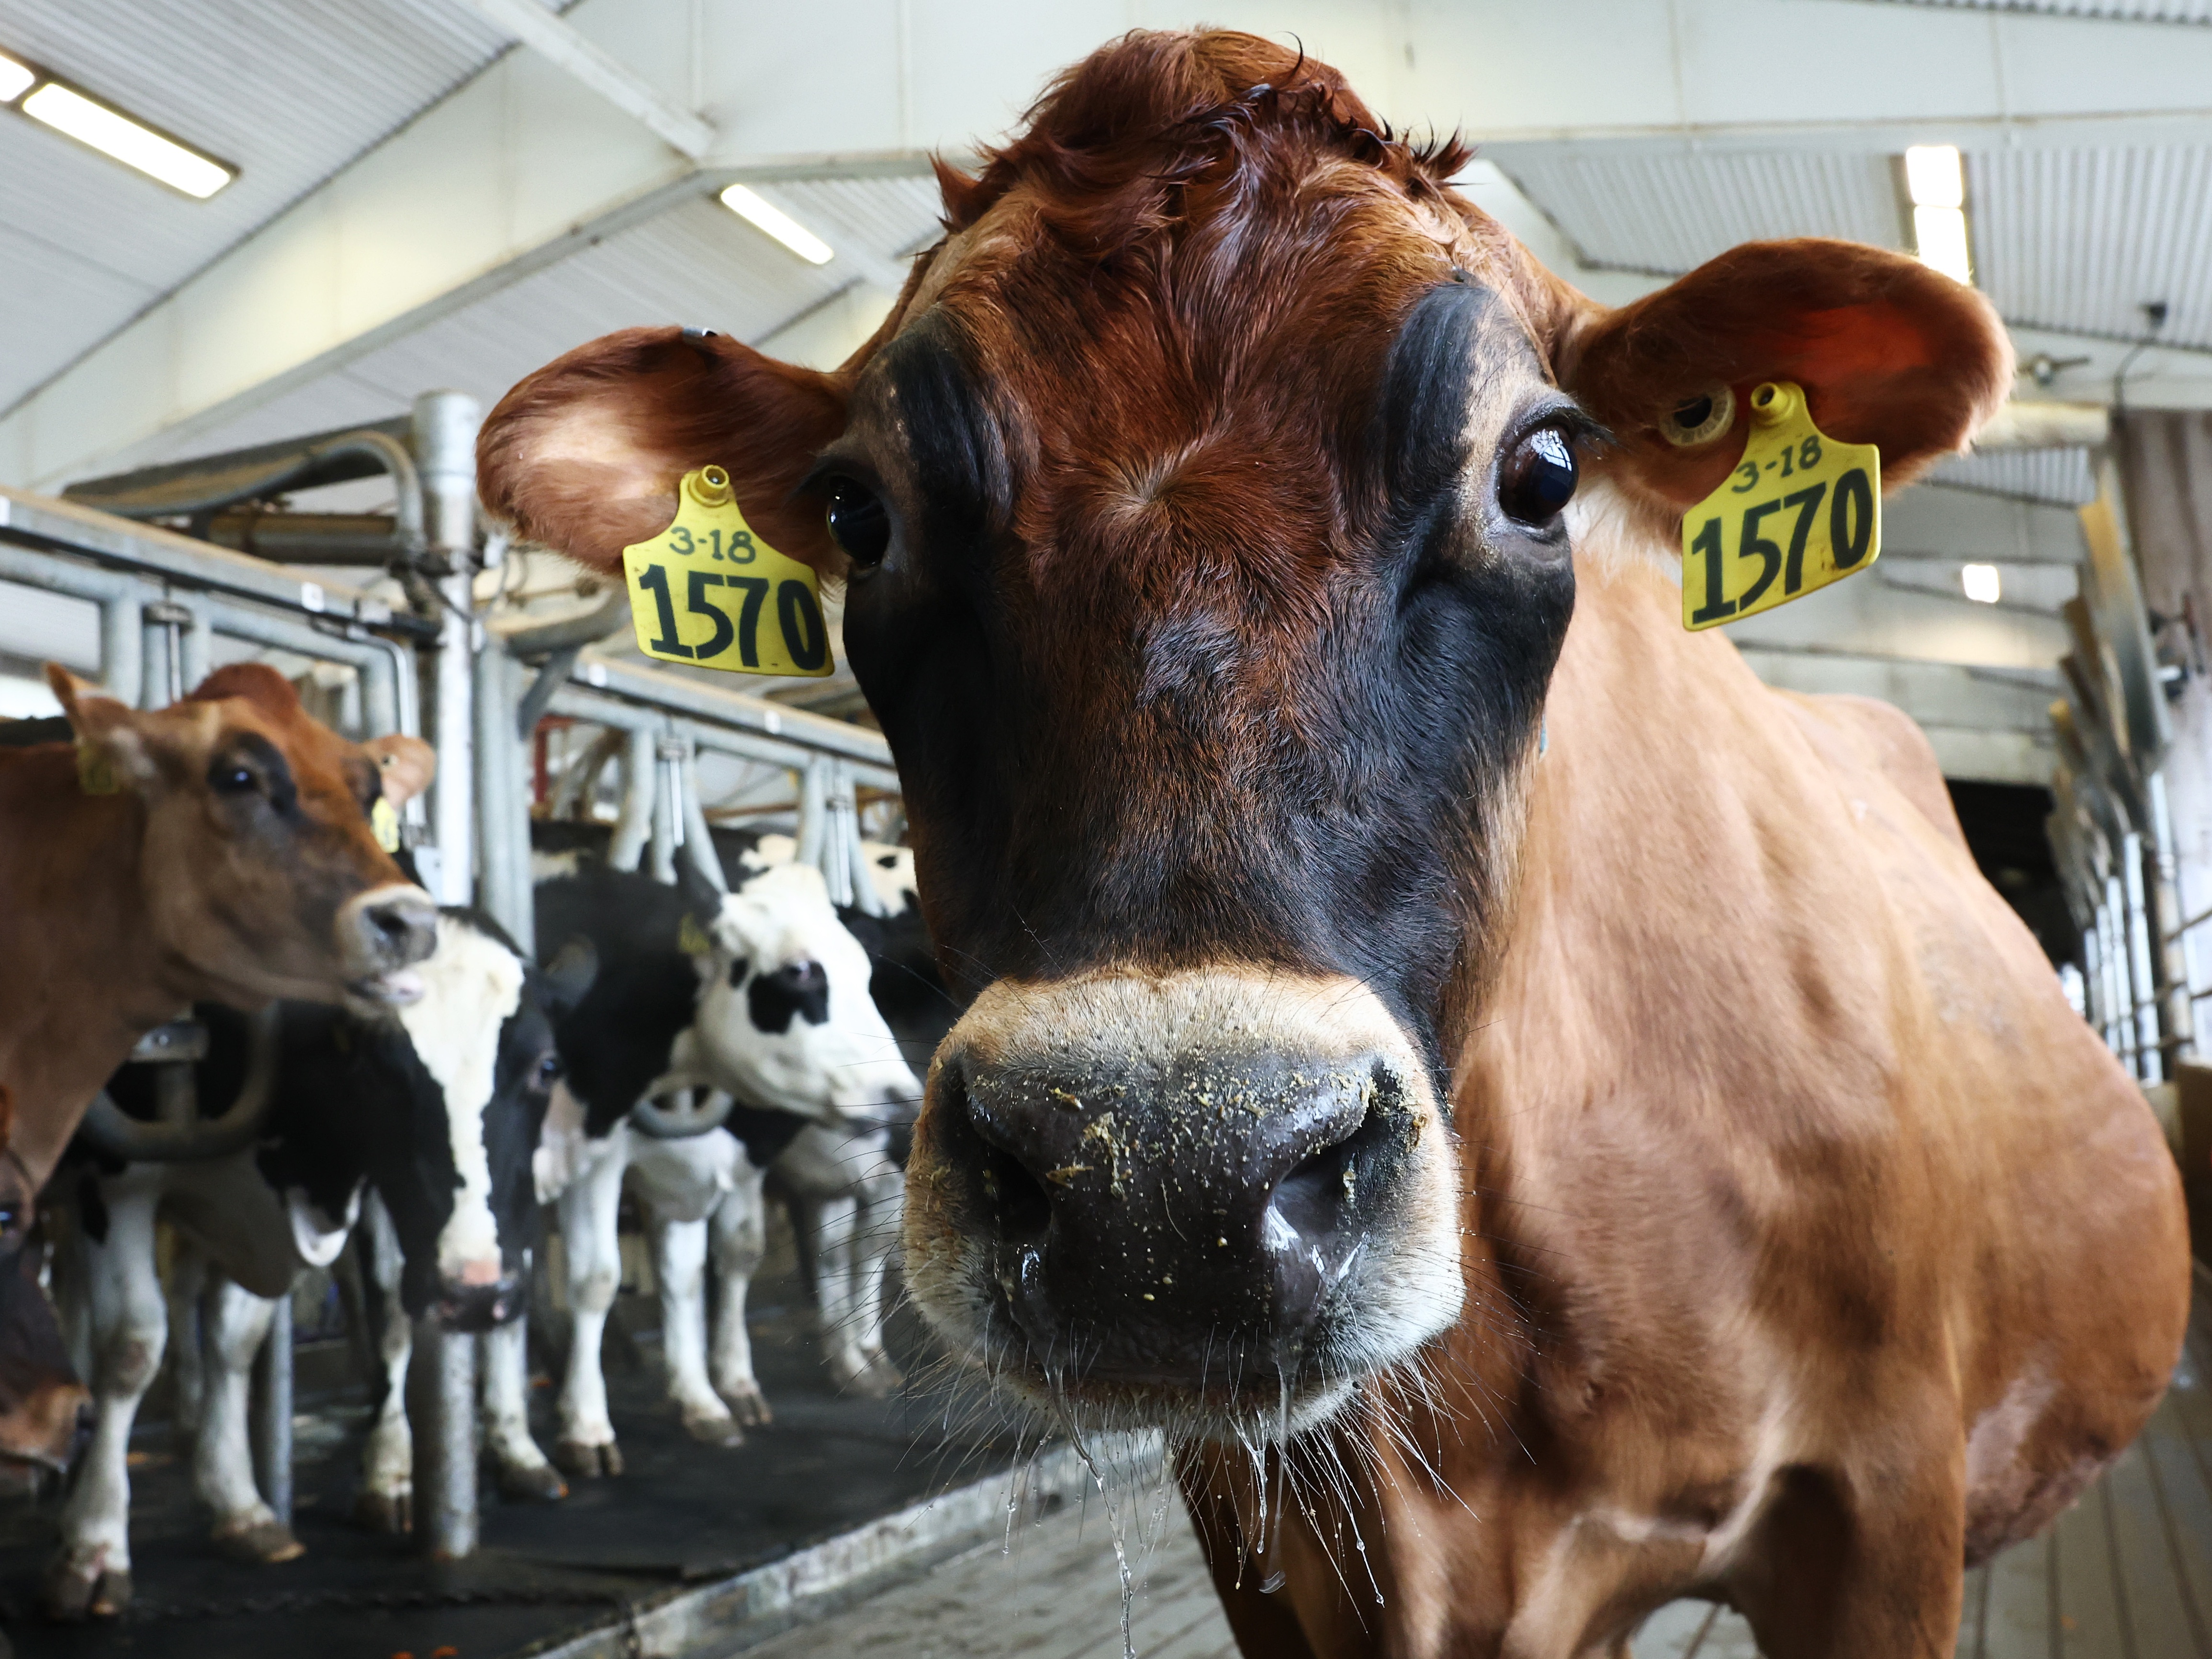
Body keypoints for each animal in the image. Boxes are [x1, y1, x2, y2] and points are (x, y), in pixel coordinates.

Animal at [45, 913, 592, 1617]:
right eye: (376, 1068)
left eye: (547, 1066)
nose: (476, 1293)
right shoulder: (117, 1179)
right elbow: (130, 1349)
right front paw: (95, 1544)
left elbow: (244, 1340)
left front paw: (245, 1504)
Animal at [526, 847, 919, 1474]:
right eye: (799, 972)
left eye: (866, 977)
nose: (905, 1101)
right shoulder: (592, 1156)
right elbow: (596, 1279)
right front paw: (586, 1426)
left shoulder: (723, 1160)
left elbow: (706, 1266)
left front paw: (707, 1397)